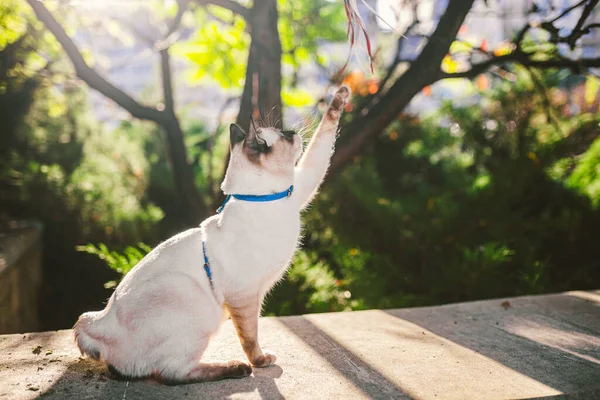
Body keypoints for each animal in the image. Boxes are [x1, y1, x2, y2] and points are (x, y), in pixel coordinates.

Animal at [74, 85, 352, 384]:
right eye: (285, 136)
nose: (295, 133)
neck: (268, 200)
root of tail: (100, 322)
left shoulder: (301, 186)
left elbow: (324, 139)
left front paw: (341, 96)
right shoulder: (244, 296)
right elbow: (250, 339)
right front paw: (261, 362)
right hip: (191, 298)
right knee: (171, 374)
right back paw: (235, 368)